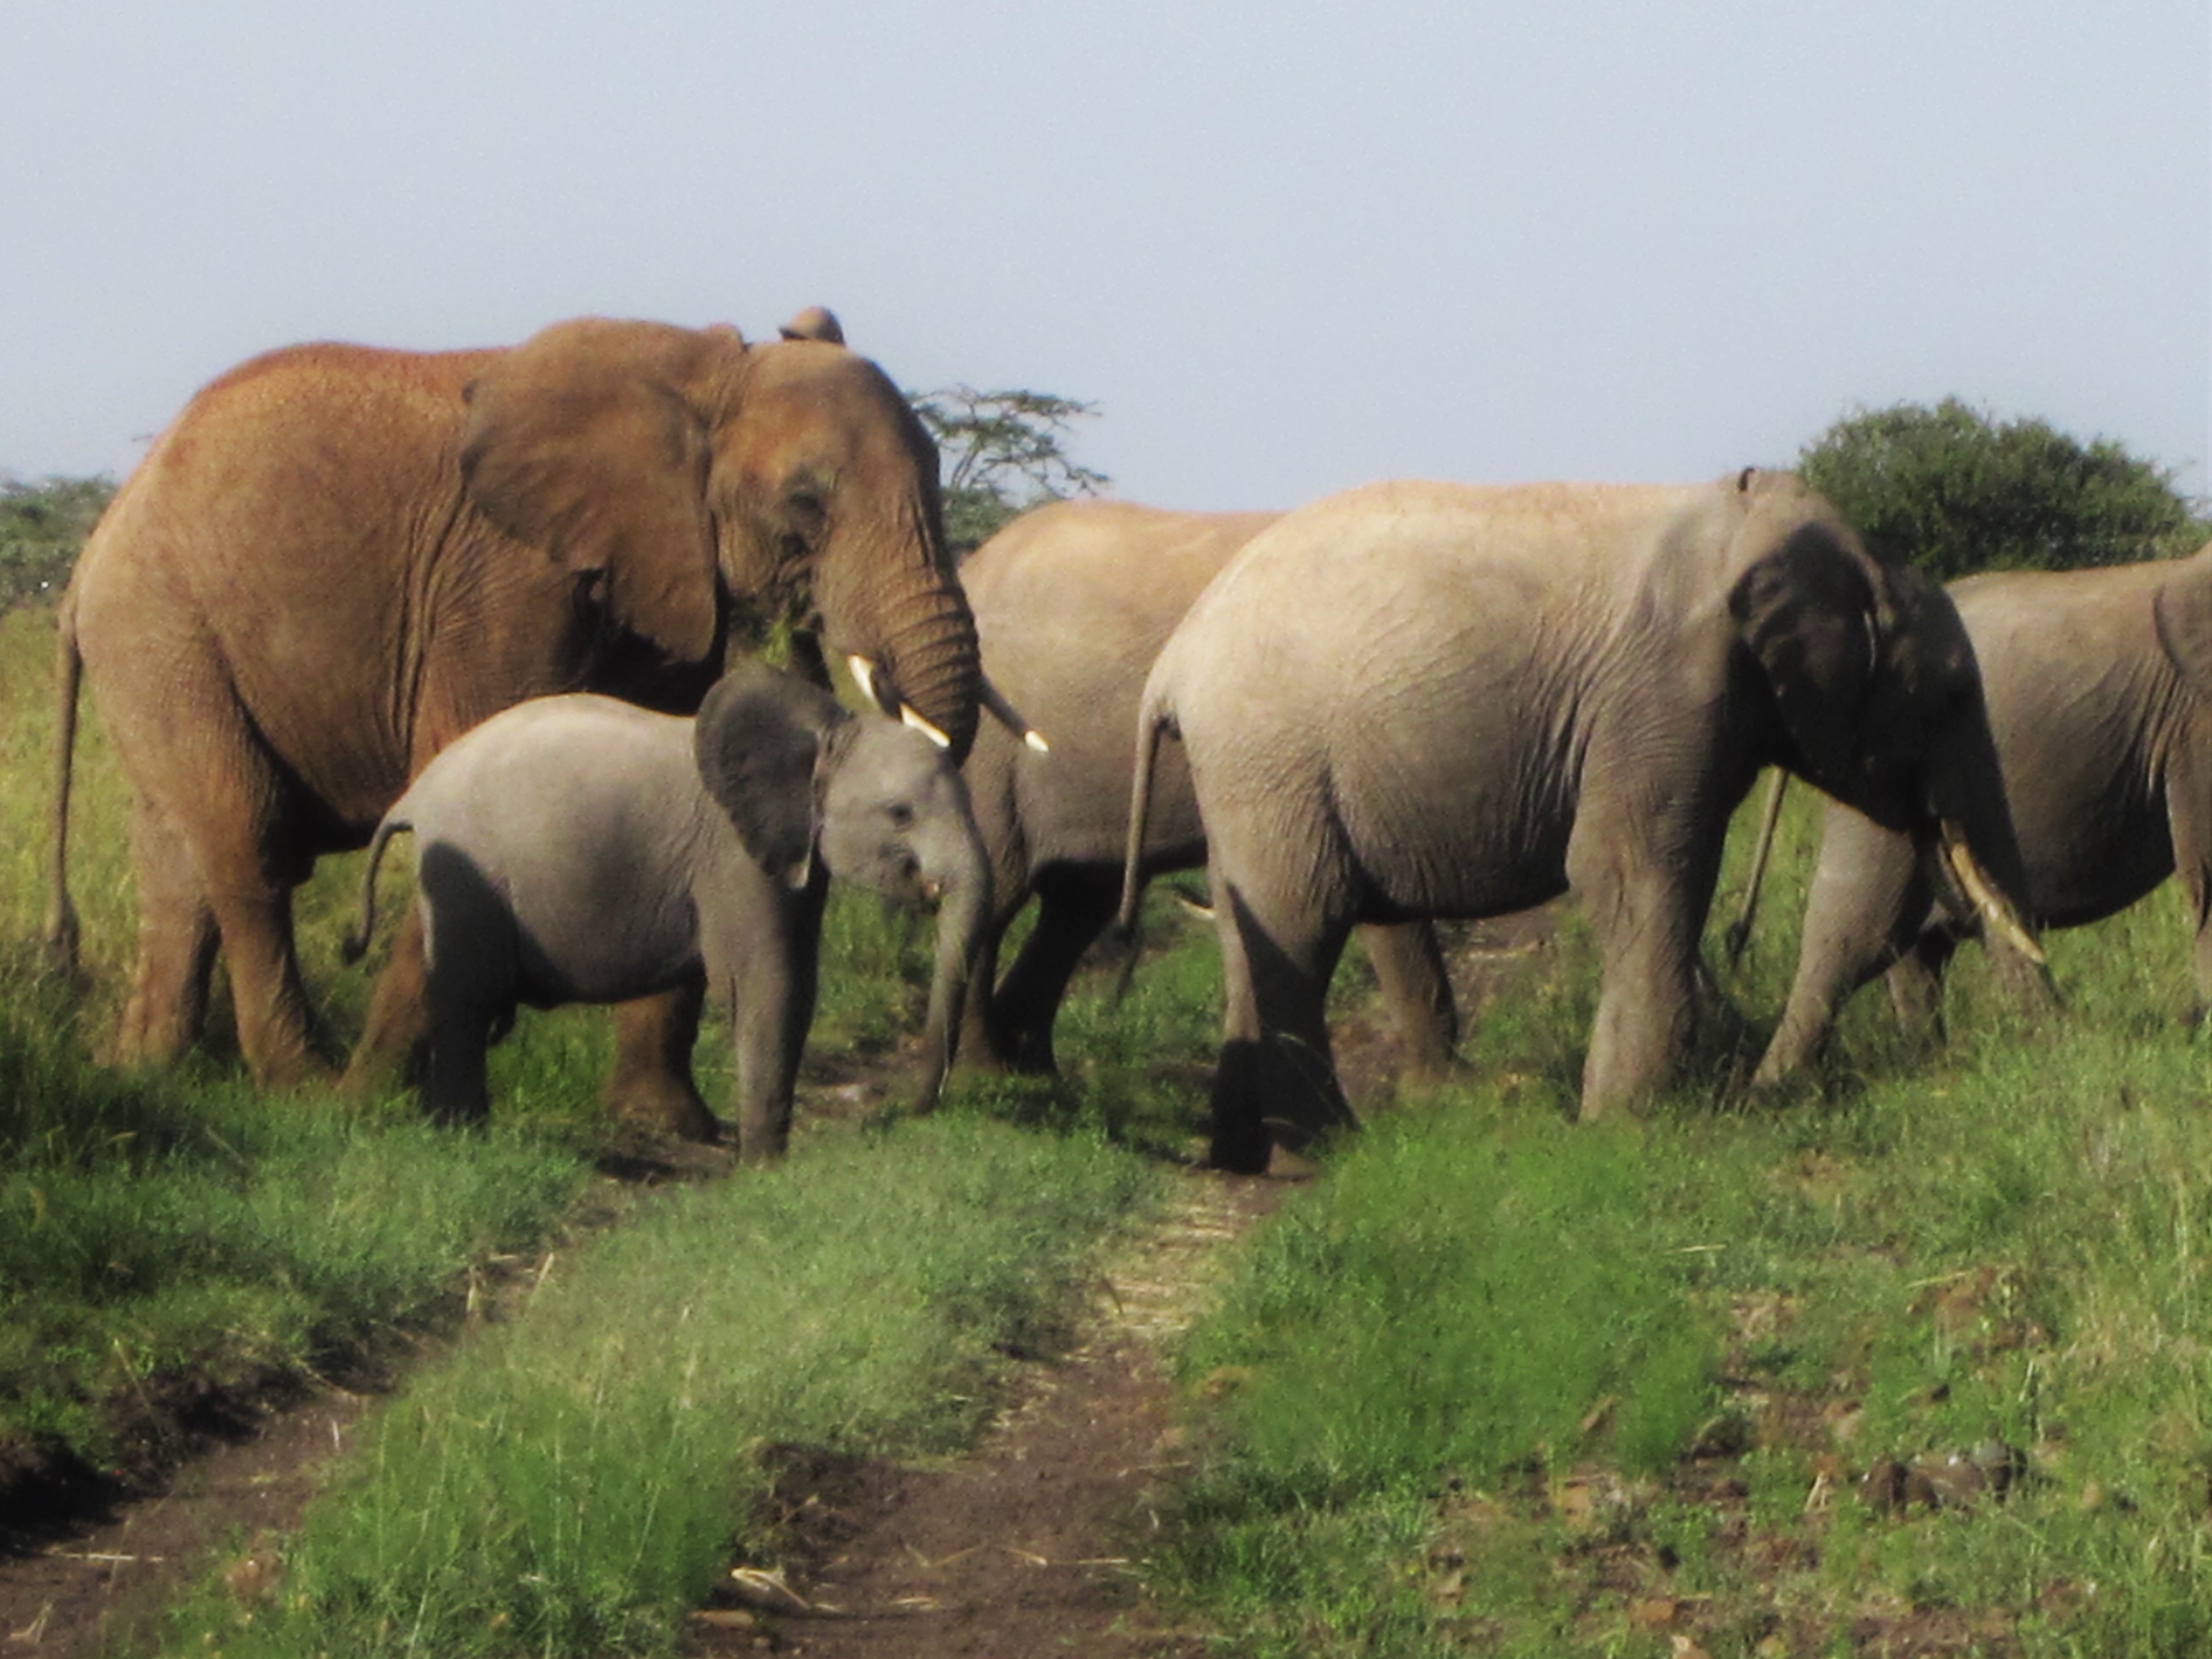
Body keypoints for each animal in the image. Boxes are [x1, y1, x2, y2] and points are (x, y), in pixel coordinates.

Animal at [343, 662, 990, 1159]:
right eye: (900, 814)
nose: (914, 1110)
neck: (826, 728)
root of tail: (413, 798)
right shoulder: (733, 856)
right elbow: (766, 983)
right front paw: (763, 1171)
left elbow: (797, 982)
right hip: (465, 879)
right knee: (465, 1002)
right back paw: (464, 1141)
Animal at [957, 499, 1459, 1080]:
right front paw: (1448, 1090)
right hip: (991, 750)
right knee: (996, 895)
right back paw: (984, 1077)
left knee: (1078, 905)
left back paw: (1037, 1074)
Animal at [1120, 469, 2045, 1172]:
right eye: (1953, 694)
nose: (2044, 1041)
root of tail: (1174, 663)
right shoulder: (1667, 691)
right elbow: (1629, 875)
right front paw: (1632, 1131)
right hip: (1270, 755)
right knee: (1304, 922)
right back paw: (1321, 1151)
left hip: (1248, 774)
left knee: (1249, 928)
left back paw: (1241, 1158)